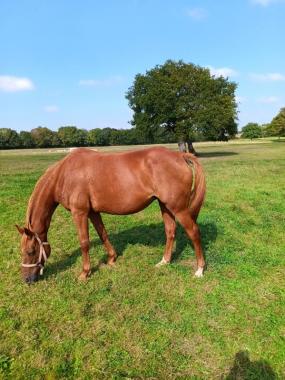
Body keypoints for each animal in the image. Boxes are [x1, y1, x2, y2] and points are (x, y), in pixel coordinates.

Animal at [16, 147, 204, 284]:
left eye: (31, 251)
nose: (27, 279)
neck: (64, 174)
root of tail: (180, 155)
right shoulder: (93, 212)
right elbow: (103, 234)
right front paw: (112, 258)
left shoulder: (80, 213)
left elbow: (84, 243)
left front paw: (85, 273)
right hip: (165, 205)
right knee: (170, 231)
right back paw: (164, 262)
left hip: (178, 208)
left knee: (194, 232)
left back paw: (200, 269)